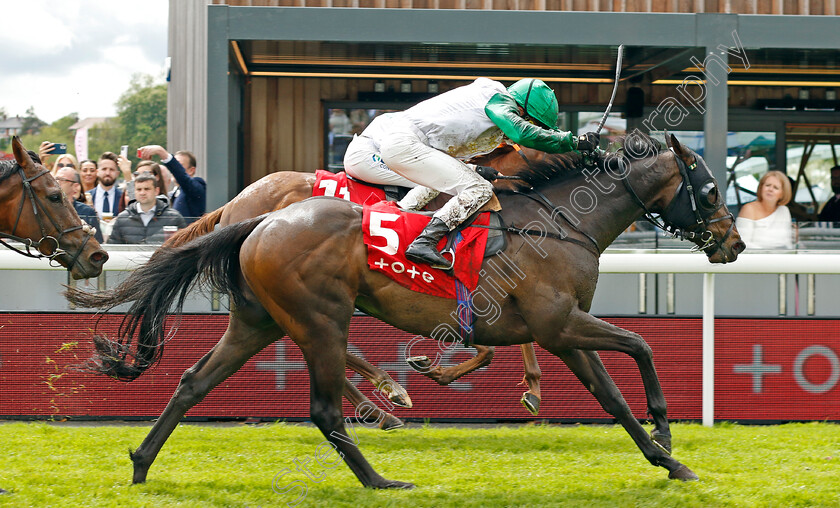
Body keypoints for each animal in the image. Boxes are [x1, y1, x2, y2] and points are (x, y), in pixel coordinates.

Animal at [69, 132, 744, 488]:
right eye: (712, 190)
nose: (734, 244)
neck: (558, 223)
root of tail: (255, 216)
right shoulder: (559, 324)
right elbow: (642, 346)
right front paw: (665, 433)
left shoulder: (560, 330)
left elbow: (611, 396)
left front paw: (667, 460)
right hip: (321, 317)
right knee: (324, 403)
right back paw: (380, 468)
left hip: (255, 322)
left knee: (191, 382)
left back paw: (140, 465)